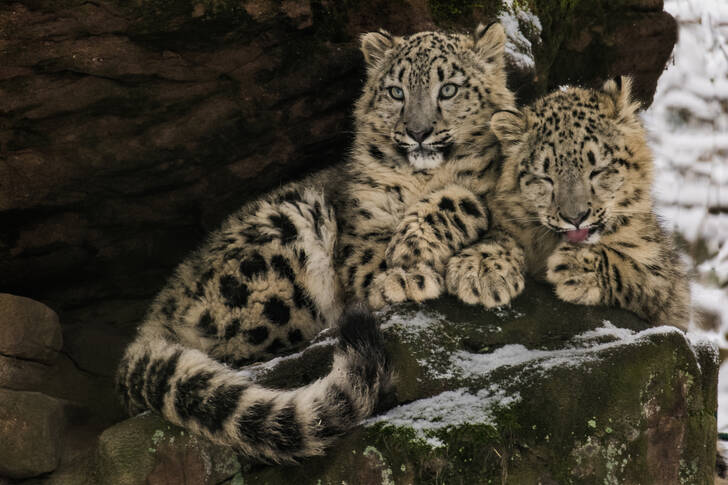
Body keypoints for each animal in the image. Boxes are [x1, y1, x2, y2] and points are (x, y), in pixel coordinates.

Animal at [116, 21, 516, 462]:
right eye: (397, 91)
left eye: (449, 89)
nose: (418, 132)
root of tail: (154, 316)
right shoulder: (360, 242)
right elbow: (405, 238)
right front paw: (409, 269)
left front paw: (485, 273)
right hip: (283, 238)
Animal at [446, 77, 692, 328]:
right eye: (544, 177)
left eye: (598, 169)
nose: (575, 217)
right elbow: (502, 234)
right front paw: (480, 268)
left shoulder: (668, 285)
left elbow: (635, 268)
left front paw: (576, 267)